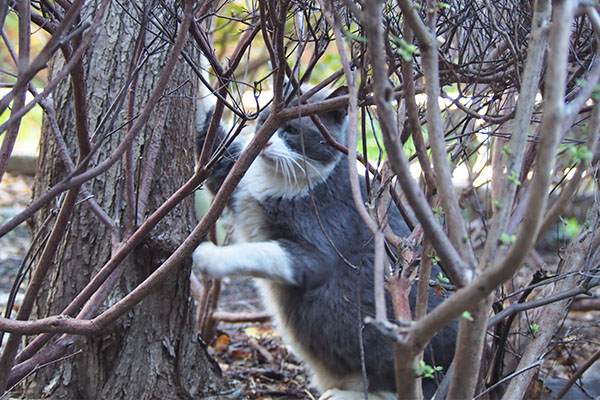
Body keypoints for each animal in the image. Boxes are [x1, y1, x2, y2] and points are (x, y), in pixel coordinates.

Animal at [192, 86, 454, 398]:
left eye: (293, 129)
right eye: (264, 121)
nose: (265, 142)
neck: (281, 181)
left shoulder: (320, 246)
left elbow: (263, 251)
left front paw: (208, 256)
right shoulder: (234, 176)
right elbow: (211, 142)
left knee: (406, 387)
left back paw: (343, 393)